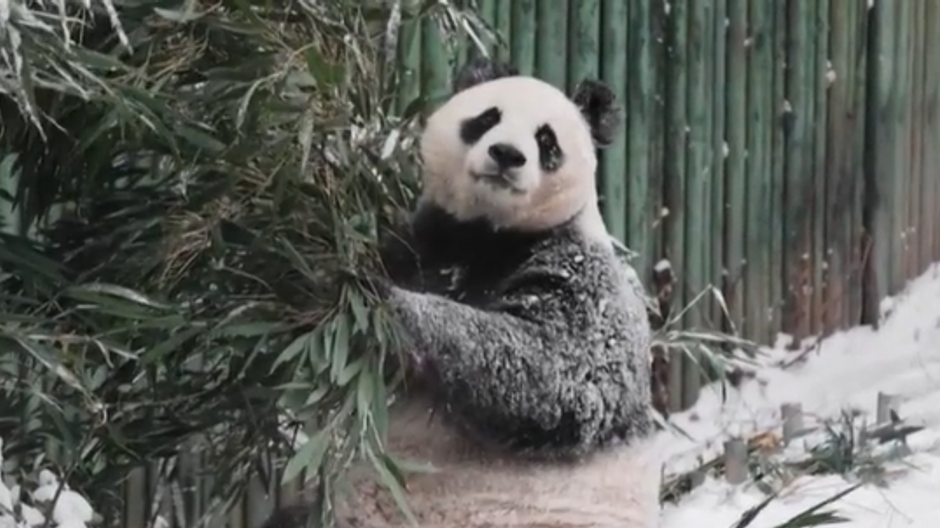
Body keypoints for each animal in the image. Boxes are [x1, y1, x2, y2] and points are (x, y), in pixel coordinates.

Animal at [264, 58, 661, 528]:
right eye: (487, 118)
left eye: (546, 139)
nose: (506, 154)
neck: (490, 232)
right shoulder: (423, 242)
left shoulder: (581, 274)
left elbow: (554, 370)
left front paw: (370, 300)